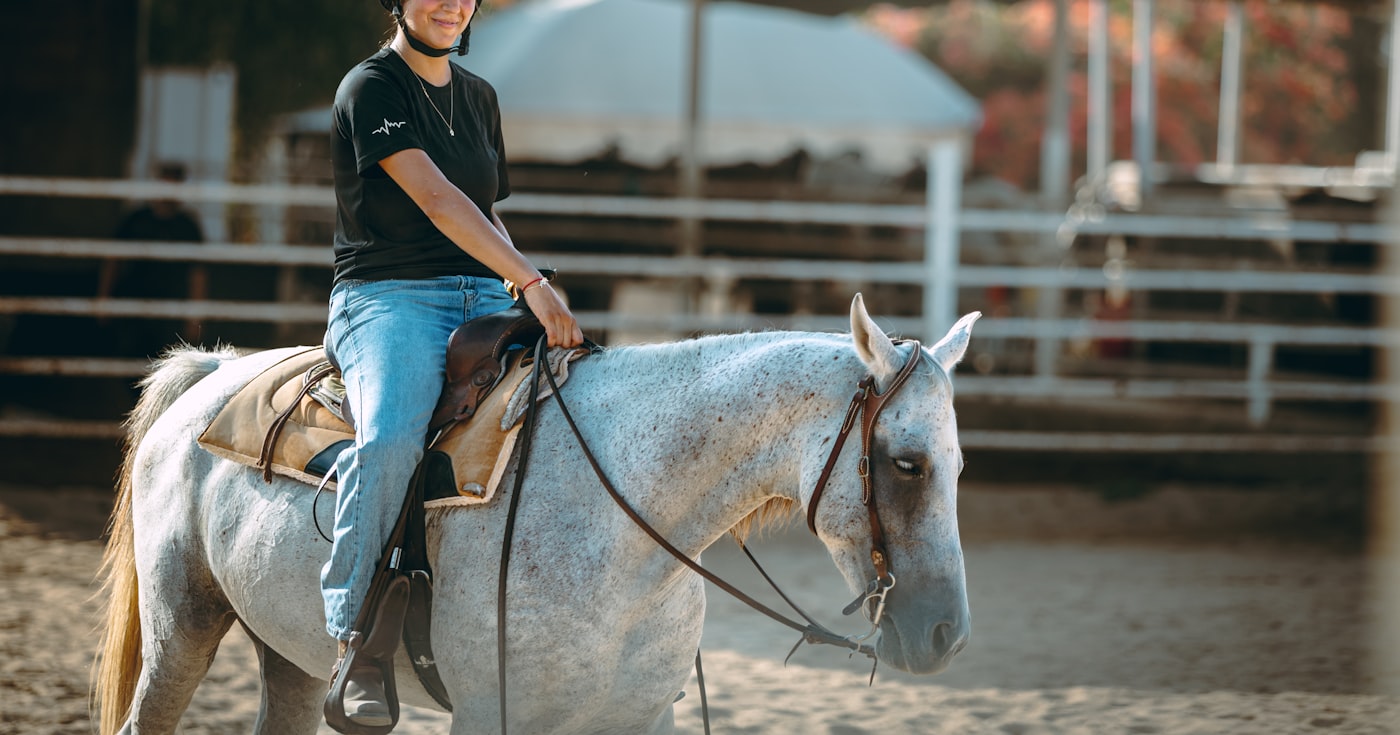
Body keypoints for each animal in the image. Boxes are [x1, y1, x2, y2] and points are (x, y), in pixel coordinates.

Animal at [93, 294, 979, 734]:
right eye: (908, 463)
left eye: (960, 465)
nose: (948, 637)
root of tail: (213, 371)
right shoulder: (491, 714)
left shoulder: (642, 715)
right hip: (183, 624)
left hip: (292, 653)